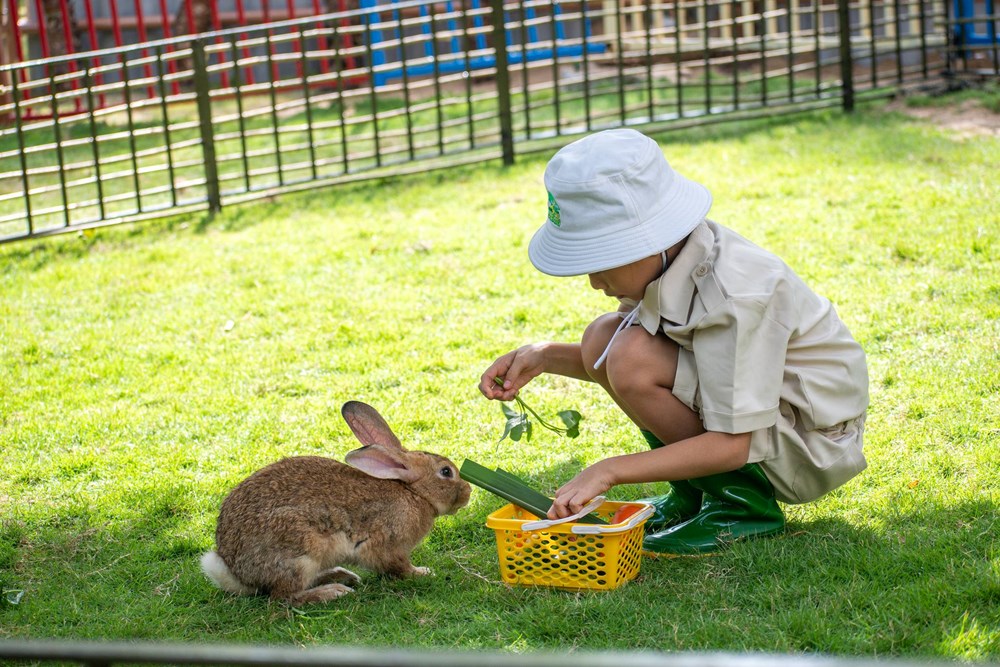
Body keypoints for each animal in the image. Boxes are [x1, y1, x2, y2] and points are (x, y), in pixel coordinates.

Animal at [203, 402, 472, 604]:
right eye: (446, 472)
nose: (468, 491)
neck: (414, 493)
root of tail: (236, 572)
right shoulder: (386, 546)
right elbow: (398, 567)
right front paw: (422, 572)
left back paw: (342, 575)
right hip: (300, 552)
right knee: (283, 598)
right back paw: (333, 592)